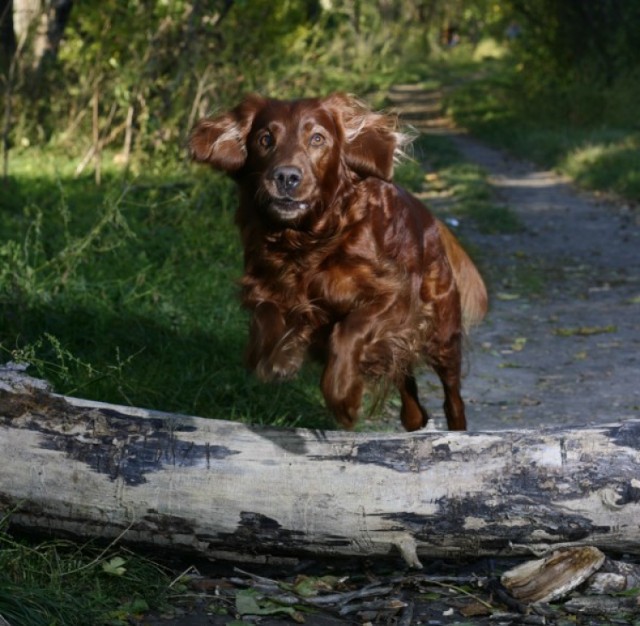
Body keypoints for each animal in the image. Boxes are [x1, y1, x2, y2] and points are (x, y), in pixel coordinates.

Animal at [188, 94, 488, 428]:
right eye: (265, 139)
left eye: (317, 138)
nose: (286, 177)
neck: (307, 240)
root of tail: (432, 220)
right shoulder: (260, 285)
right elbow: (267, 317)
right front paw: (279, 357)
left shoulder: (395, 296)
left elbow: (348, 330)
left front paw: (343, 394)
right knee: (407, 387)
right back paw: (413, 417)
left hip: (442, 334)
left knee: (453, 399)